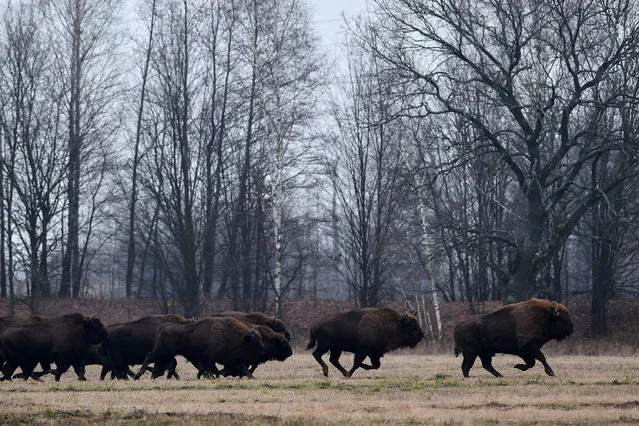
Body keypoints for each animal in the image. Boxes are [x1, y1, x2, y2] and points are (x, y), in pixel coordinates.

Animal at [135, 316, 264, 380]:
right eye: (255, 342)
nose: (263, 350)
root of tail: (164, 326)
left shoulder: (234, 359)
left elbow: (243, 369)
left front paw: (253, 377)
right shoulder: (209, 359)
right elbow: (210, 369)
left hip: (166, 354)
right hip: (162, 351)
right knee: (149, 357)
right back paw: (138, 376)